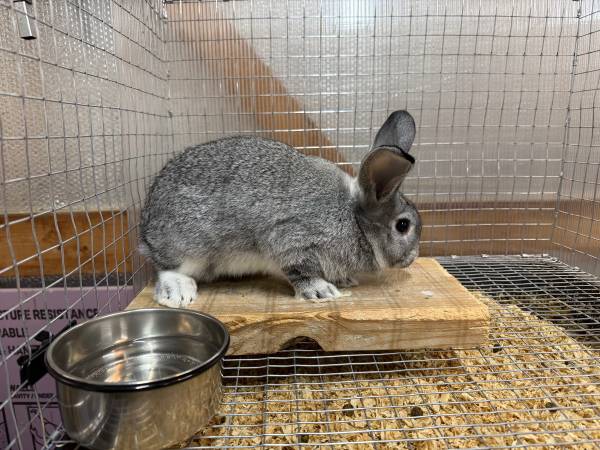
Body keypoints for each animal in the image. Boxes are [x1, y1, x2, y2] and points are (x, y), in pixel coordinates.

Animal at [140, 110, 421, 308]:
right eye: (403, 225)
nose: (412, 258)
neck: (354, 219)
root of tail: (145, 230)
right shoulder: (292, 242)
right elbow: (300, 271)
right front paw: (322, 291)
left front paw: (344, 280)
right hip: (189, 246)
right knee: (166, 269)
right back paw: (178, 292)